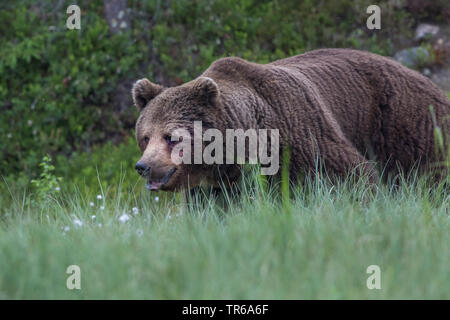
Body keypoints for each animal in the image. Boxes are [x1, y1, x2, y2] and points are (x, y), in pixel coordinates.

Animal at [132, 48, 448, 192]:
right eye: (146, 136)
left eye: (171, 136)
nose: (143, 166)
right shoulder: (218, 184)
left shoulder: (299, 134)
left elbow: (350, 175)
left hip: (404, 122)